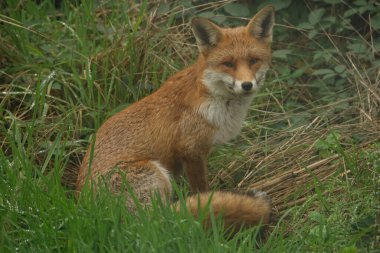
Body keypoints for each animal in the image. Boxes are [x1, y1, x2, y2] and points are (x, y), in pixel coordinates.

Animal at [76, 5, 274, 231]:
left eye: (253, 61)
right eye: (228, 63)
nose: (247, 85)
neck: (212, 96)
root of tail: (88, 207)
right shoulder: (191, 150)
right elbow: (202, 192)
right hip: (156, 173)